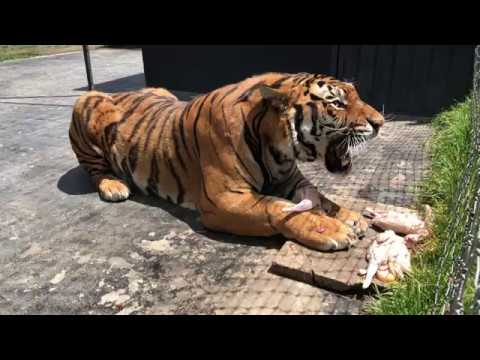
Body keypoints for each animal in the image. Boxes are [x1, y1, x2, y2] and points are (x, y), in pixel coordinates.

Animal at [69, 72, 386, 252]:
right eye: (337, 103)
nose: (381, 122)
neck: (277, 147)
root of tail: (117, 91)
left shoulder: (291, 178)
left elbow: (322, 198)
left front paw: (350, 216)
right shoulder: (222, 198)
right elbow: (276, 208)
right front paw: (331, 229)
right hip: (85, 106)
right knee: (93, 170)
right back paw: (114, 186)